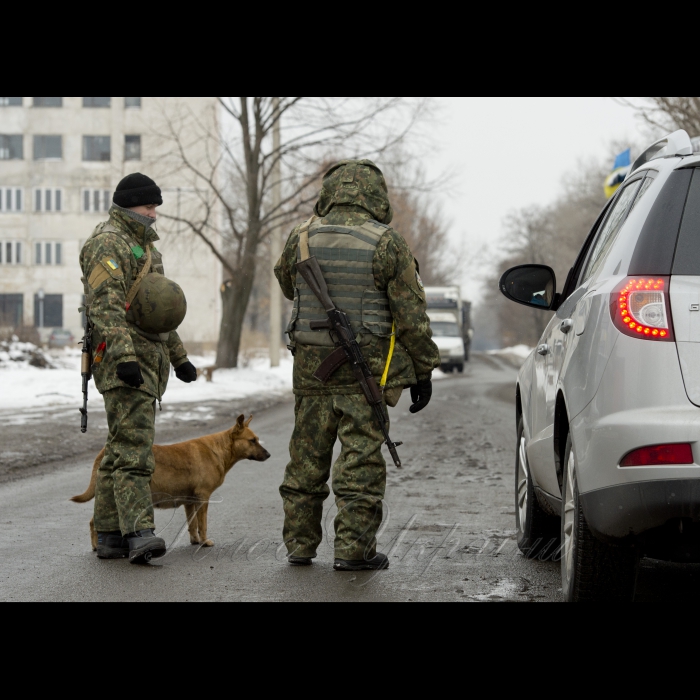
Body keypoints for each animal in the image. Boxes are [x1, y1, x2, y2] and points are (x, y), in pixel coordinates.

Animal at [70, 412, 268, 548]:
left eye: (257, 439)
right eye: (252, 441)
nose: (269, 455)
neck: (219, 450)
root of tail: (105, 451)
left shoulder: (190, 501)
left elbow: (192, 524)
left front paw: (195, 541)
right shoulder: (203, 498)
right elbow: (202, 524)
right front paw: (205, 542)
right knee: (94, 522)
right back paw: (97, 545)